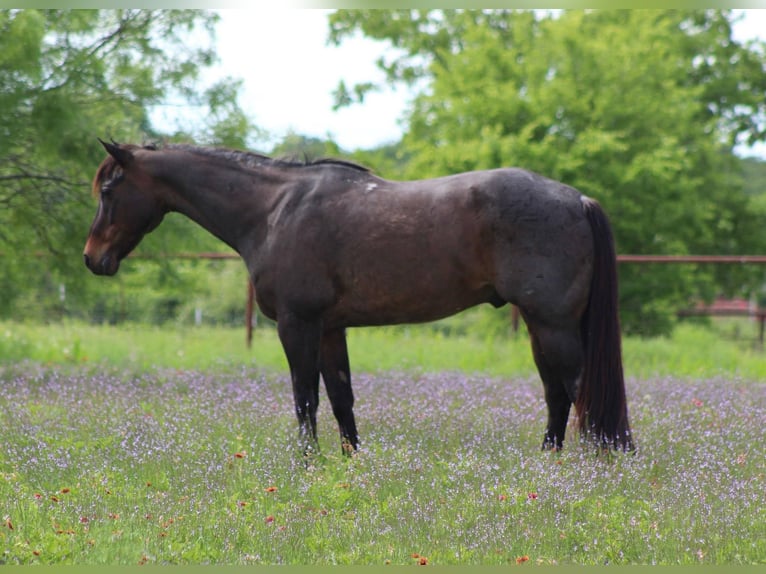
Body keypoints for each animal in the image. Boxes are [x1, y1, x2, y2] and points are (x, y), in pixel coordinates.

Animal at [84, 140, 634, 454]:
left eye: (109, 190)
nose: (93, 258)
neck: (274, 210)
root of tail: (576, 199)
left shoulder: (298, 325)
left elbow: (304, 398)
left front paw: (306, 466)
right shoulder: (330, 328)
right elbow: (341, 399)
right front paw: (351, 466)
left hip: (553, 326)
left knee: (579, 391)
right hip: (542, 328)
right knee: (557, 395)